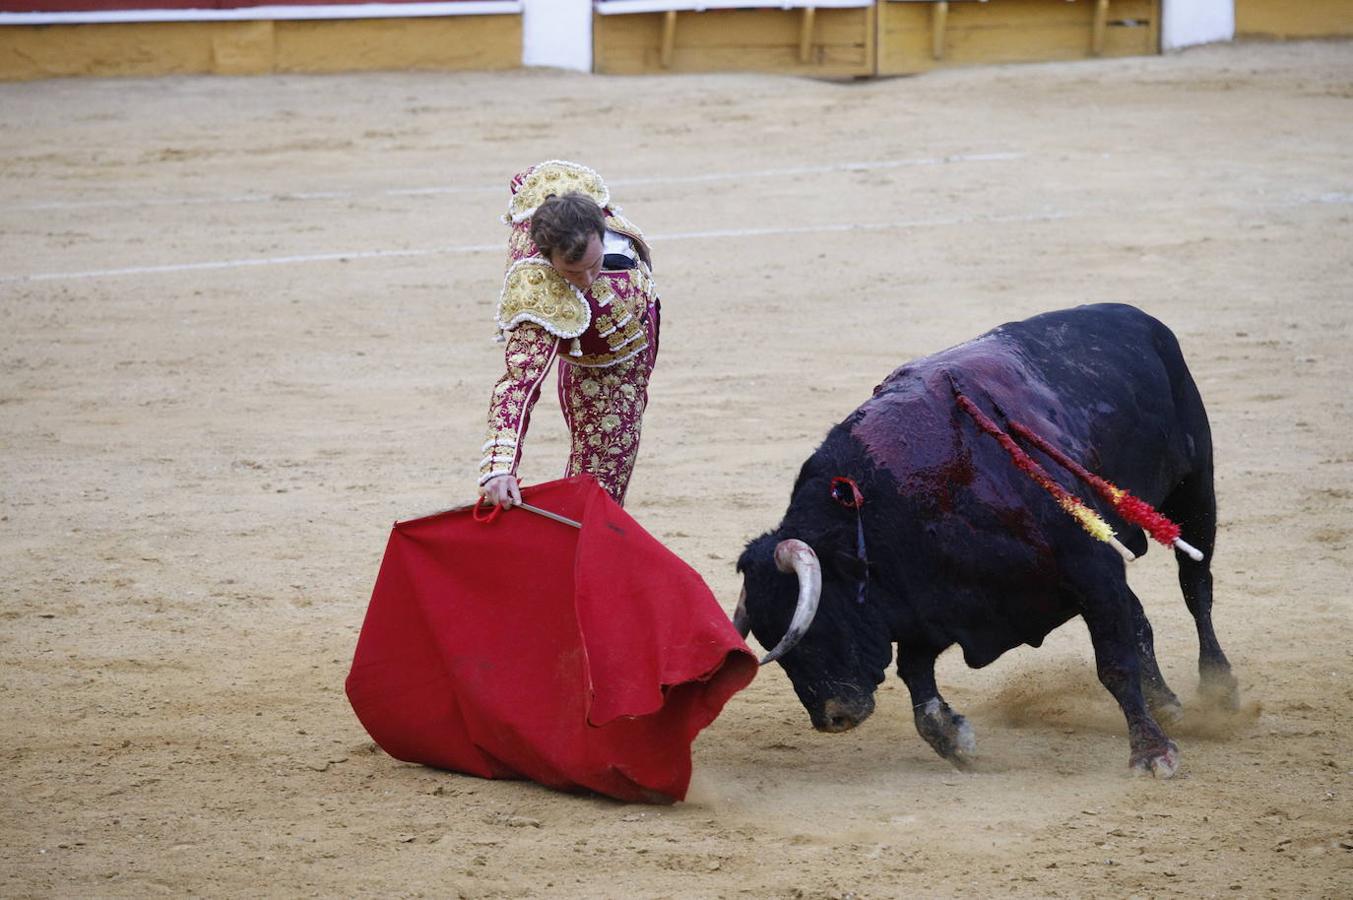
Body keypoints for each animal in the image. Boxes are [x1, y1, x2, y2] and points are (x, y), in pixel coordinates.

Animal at [741, 305, 1239, 774]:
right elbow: (916, 677)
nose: (833, 718)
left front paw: (1152, 754)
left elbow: (1115, 664)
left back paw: (1220, 691)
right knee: (1140, 618)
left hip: (1196, 490)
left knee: (1196, 588)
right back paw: (1168, 703)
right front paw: (956, 742)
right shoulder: (934, 603)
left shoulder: (1093, 570)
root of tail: (1137, 317)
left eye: (816, 619)